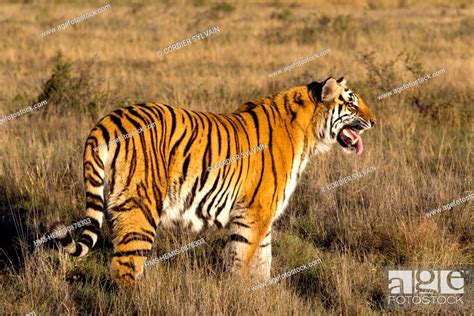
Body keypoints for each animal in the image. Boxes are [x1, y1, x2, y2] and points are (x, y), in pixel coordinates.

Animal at [52, 76, 378, 286]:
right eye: (351, 104)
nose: (375, 121)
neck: (309, 135)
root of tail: (107, 120)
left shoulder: (263, 217)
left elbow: (263, 262)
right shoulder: (253, 214)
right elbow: (241, 260)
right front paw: (237, 296)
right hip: (140, 209)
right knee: (124, 268)